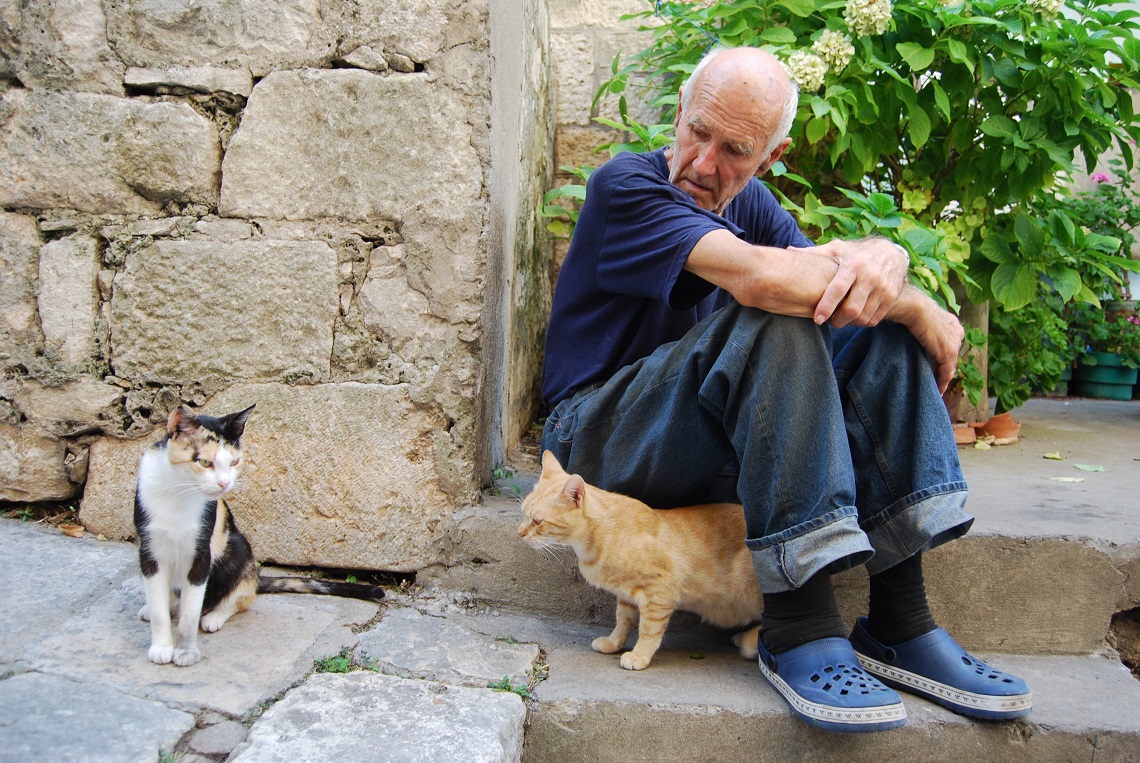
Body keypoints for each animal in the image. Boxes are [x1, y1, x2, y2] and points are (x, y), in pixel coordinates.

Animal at [135, 403, 385, 666]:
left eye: (234, 462)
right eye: (204, 462)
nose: (224, 483)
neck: (178, 494)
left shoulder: (202, 553)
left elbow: (190, 613)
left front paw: (185, 652)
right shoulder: (148, 553)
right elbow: (159, 609)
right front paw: (161, 646)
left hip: (238, 546)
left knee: (243, 595)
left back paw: (215, 615)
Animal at [522, 449, 761, 670]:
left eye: (537, 521)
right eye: (523, 514)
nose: (519, 533)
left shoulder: (659, 591)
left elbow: (649, 629)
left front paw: (640, 655)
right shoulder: (626, 595)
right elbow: (623, 621)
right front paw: (613, 642)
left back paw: (751, 642)